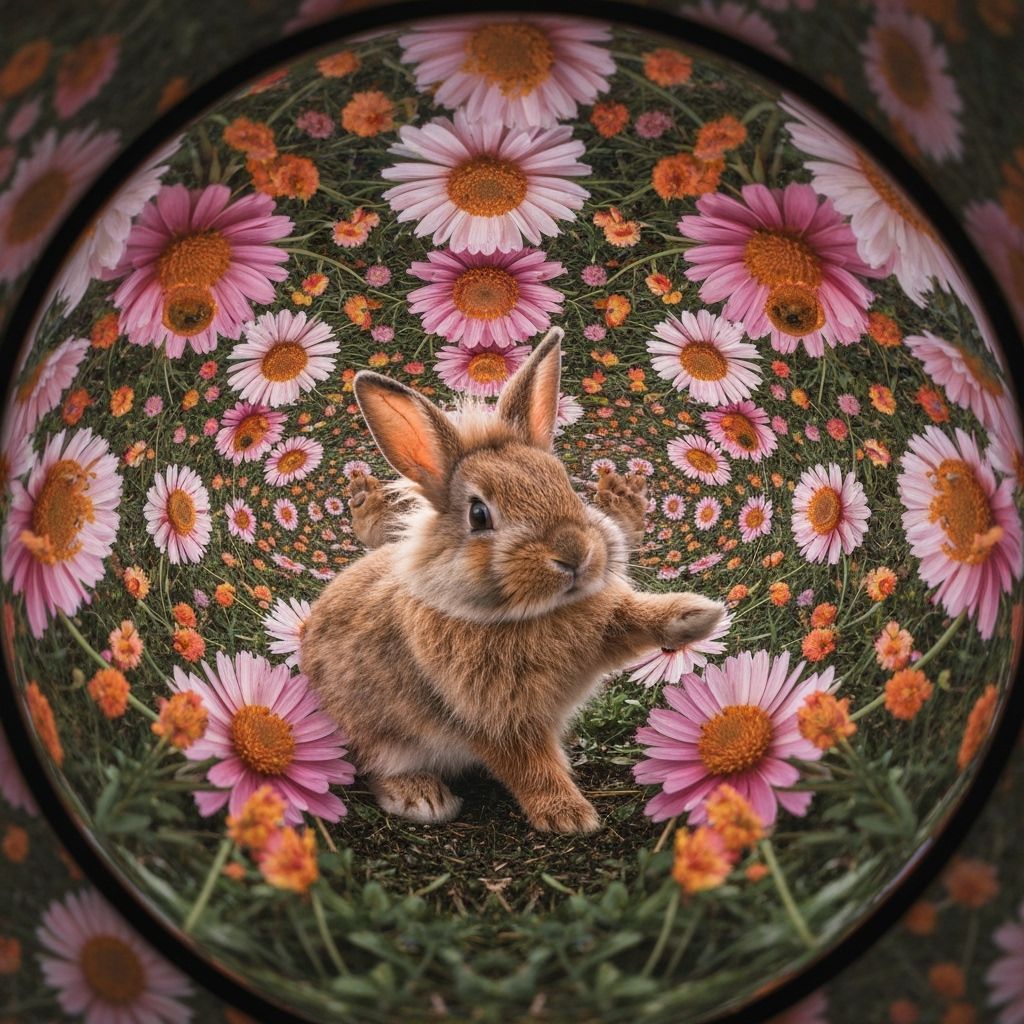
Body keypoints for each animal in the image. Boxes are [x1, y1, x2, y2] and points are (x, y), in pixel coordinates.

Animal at [300, 327, 727, 833]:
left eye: (565, 485)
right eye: (479, 515)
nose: (574, 555)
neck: (524, 614)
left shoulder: (601, 631)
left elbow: (634, 619)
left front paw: (697, 615)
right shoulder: (496, 719)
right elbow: (528, 765)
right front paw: (569, 815)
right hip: (374, 733)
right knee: (374, 765)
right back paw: (421, 797)